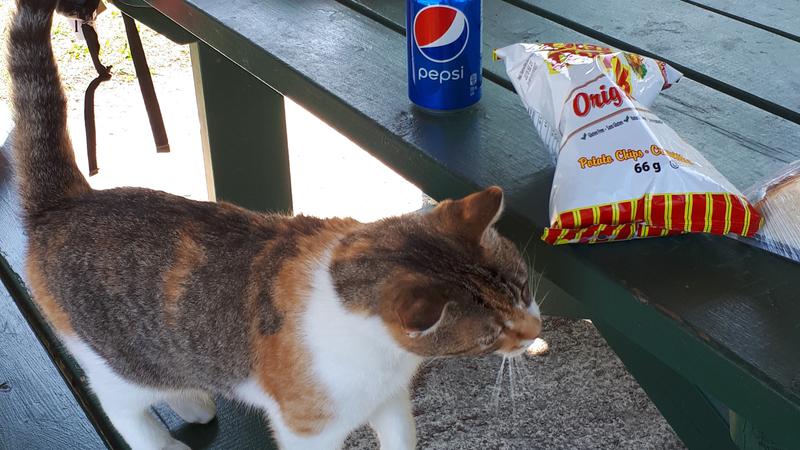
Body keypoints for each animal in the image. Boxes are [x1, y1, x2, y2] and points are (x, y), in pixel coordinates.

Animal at [4, 1, 544, 448]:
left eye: (523, 290)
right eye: (491, 335)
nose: (536, 330)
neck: (388, 355)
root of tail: (67, 201)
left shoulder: (390, 400)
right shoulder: (309, 429)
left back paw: (191, 400)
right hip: (116, 358)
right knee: (124, 403)